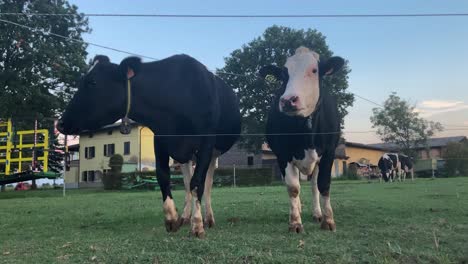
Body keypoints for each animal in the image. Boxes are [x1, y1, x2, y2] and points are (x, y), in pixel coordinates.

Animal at [57, 53, 241, 237]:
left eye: (92, 82)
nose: (60, 123)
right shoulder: (160, 139)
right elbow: (164, 177)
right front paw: (172, 219)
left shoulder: (206, 141)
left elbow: (197, 183)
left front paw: (197, 225)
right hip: (185, 155)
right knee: (187, 180)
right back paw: (185, 217)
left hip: (213, 152)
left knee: (207, 182)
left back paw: (208, 219)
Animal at [260, 47, 344, 233]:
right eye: (283, 75)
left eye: (314, 70)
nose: (288, 100)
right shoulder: (283, 155)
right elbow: (292, 188)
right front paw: (295, 223)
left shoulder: (329, 152)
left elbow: (323, 185)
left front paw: (328, 220)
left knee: (314, 186)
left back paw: (317, 213)